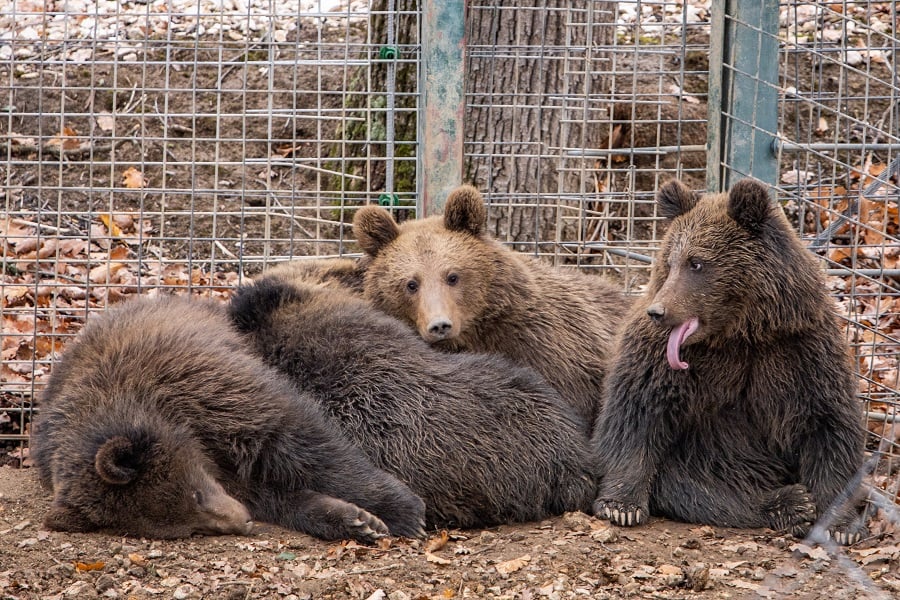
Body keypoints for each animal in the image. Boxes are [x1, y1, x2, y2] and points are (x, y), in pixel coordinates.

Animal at [33, 292, 428, 540]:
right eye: (187, 529)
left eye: (195, 495)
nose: (243, 521)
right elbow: (276, 496)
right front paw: (355, 520)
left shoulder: (215, 393)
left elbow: (305, 444)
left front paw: (401, 508)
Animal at [592, 177, 864, 544]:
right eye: (670, 260)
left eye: (696, 263)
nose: (658, 312)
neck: (739, 333)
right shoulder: (661, 360)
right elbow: (636, 412)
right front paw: (621, 505)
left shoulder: (802, 350)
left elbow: (828, 423)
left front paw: (840, 525)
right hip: (704, 460)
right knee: (698, 488)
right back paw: (789, 503)